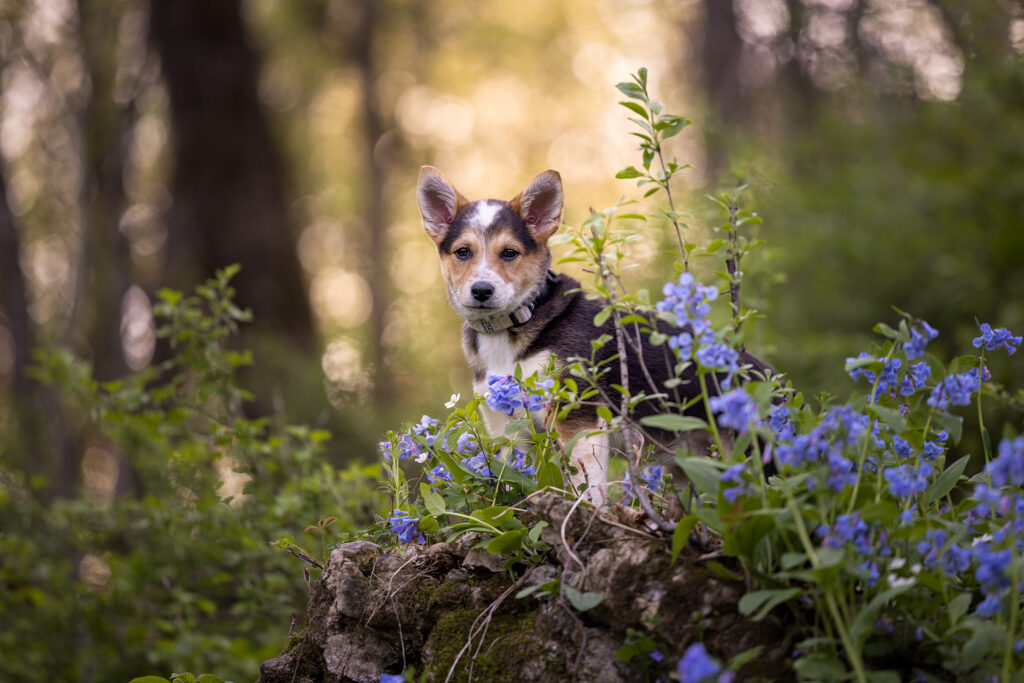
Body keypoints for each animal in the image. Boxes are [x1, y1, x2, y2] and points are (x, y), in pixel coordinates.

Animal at [415, 165, 770, 501]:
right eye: (463, 252)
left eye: (510, 253)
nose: (481, 291)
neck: (511, 327)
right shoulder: (504, 424)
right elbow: (512, 477)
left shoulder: (576, 413)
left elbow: (585, 485)